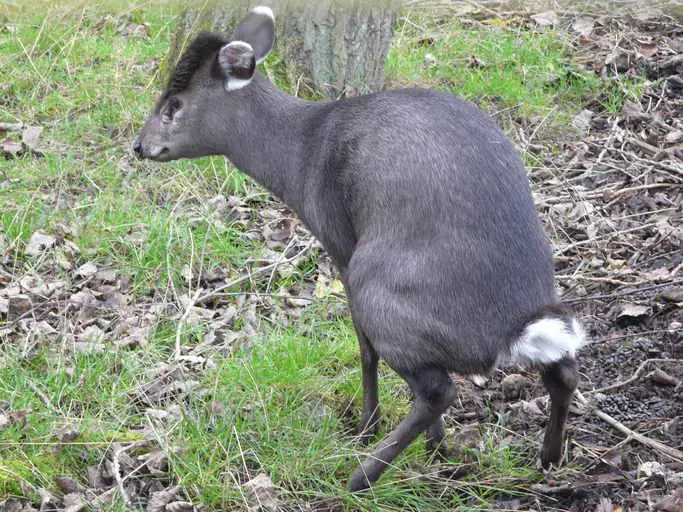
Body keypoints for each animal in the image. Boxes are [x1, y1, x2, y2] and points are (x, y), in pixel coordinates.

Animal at [135, 5, 588, 492]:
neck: (302, 152)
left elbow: (364, 347)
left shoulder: (338, 238)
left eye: (174, 104)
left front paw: (368, 426)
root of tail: (510, 328)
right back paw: (548, 456)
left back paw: (362, 475)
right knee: (562, 369)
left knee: (437, 388)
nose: (140, 145)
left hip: (380, 288)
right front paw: (436, 448)